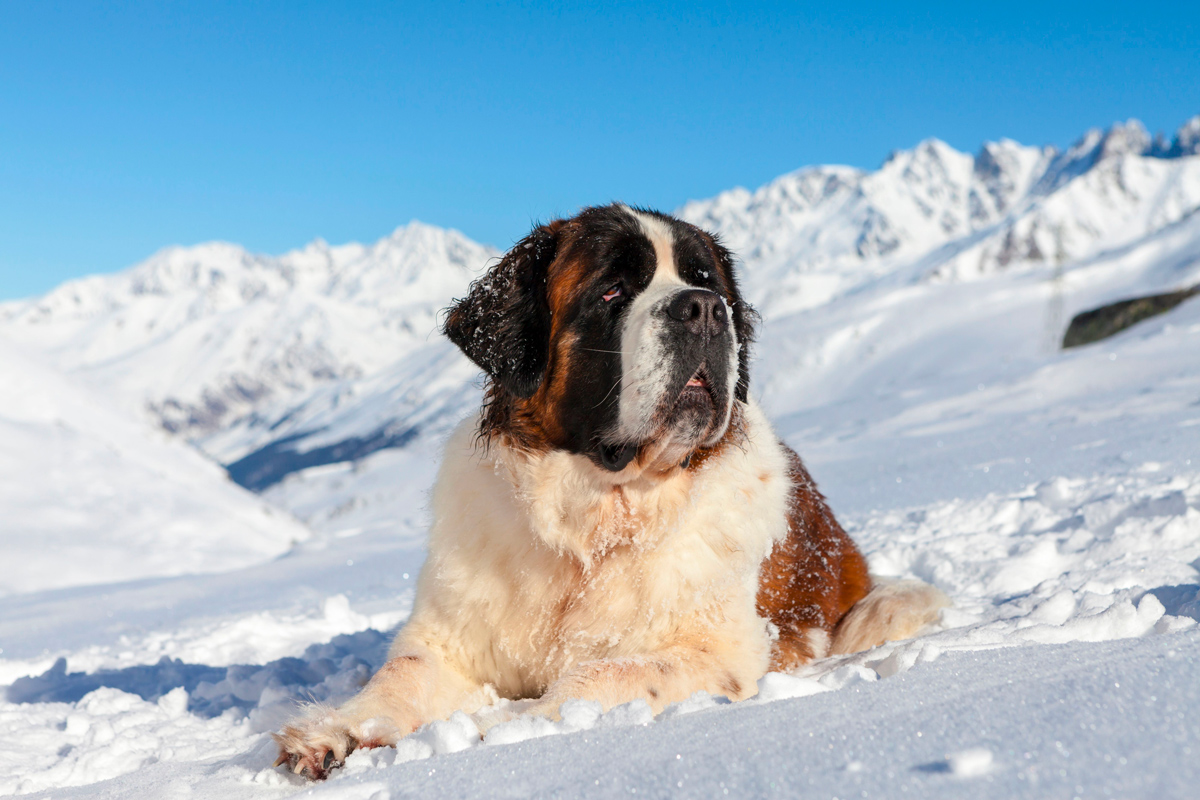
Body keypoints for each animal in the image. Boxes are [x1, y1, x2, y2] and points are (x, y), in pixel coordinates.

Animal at [272, 203, 945, 777]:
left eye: (709, 282)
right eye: (613, 290)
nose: (705, 309)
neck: (597, 516)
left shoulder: (720, 651)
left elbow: (600, 675)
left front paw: (508, 726)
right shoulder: (448, 642)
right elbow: (401, 674)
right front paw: (334, 730)